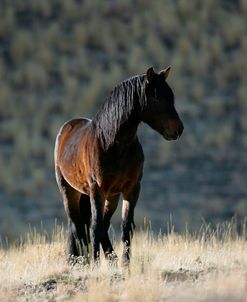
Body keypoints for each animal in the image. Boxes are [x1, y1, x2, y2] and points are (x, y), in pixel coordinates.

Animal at [55, 66, 184, 264]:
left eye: (171, 97)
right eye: (156, 98)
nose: (178, 129)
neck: (113, 144)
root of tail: (67, 128)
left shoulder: (131, 189)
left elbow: (125, 227)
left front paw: (125, 262)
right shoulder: (97, 190)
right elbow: (94, 227)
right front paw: (96, 262)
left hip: (111, 196)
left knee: (101, 225)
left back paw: (110, 258)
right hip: (69, 191)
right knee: (78, 226)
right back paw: (83, 260)